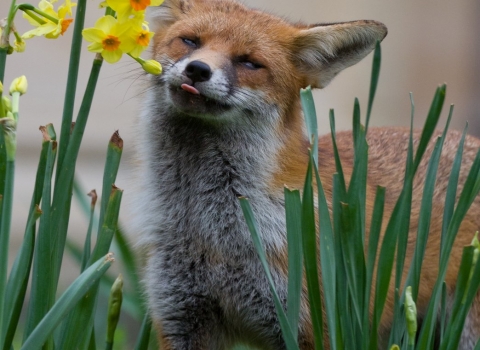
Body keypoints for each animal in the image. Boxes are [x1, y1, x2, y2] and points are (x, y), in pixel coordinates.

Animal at [130, 0, 480, 348]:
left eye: (250, 62)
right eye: (190, 41)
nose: (198, 69)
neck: (214, 235)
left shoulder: (316, 324)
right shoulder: (181, 318)